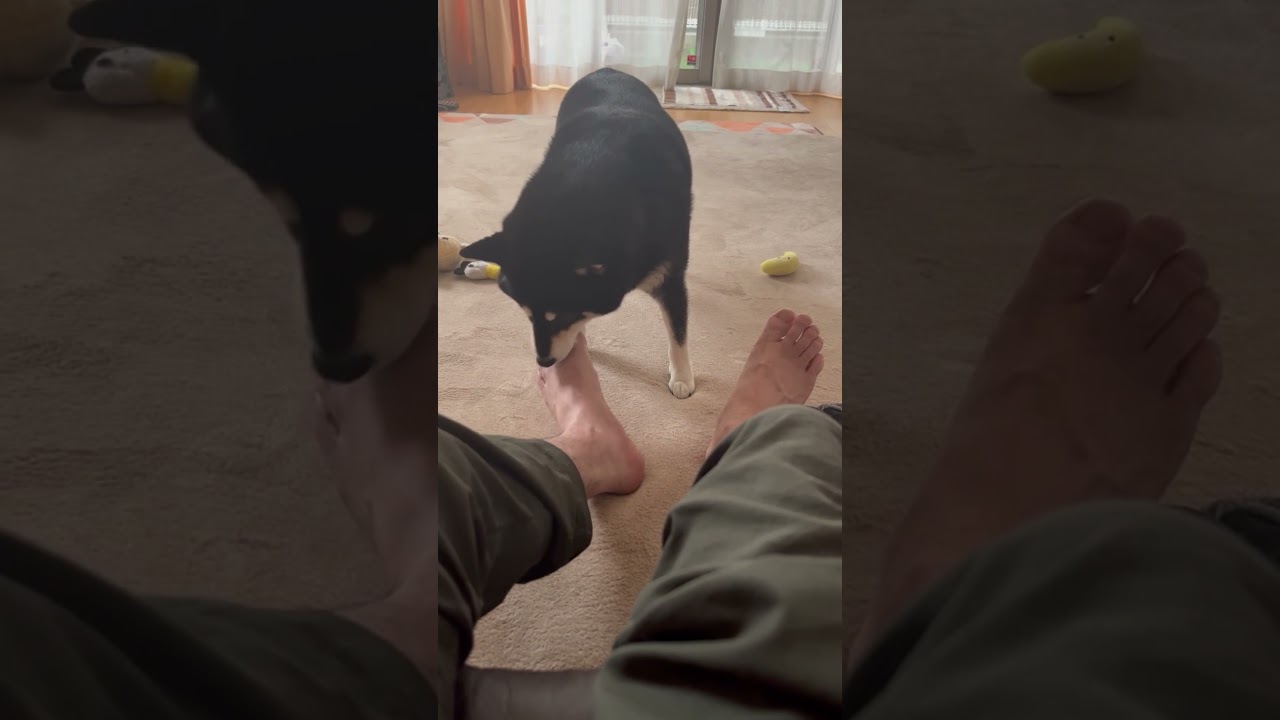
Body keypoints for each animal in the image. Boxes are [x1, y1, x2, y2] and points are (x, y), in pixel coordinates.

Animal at [462, 67, 696, 398]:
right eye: (525, 314)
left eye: (561, 315)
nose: (544, 361)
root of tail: (606, 71)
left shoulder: (669, 274)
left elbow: (678, 329)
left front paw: (682, 376)